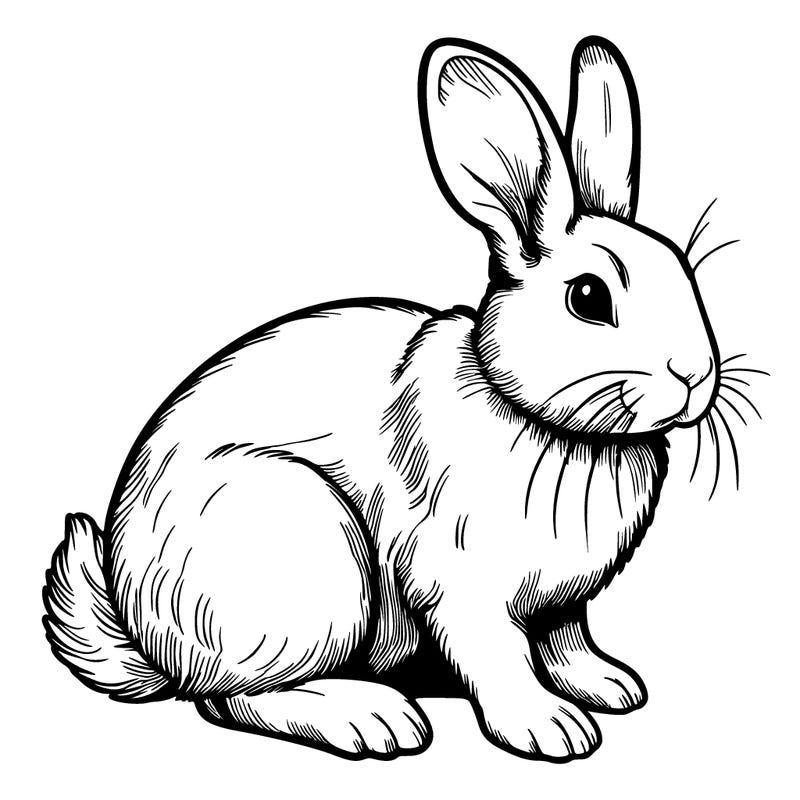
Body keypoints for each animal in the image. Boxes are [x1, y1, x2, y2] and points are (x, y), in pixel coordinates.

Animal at [43, 36, 720, 762]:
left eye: (684, 269)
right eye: (589, 297)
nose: (694, 374)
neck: (537, 417)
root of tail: (146, 635)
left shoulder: (560, 601)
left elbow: (567, 642)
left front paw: (609, 686)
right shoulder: (458, 580)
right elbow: (500, 657)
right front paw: (550, 728)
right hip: (309, 563)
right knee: (231, 697)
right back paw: (372, 718)